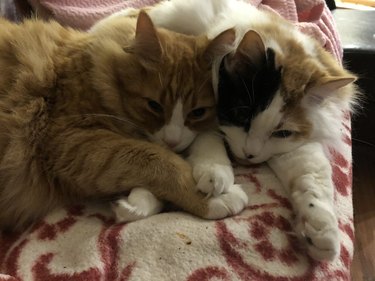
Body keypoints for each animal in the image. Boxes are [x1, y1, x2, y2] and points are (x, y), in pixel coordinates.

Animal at [0, 11, 250, 230]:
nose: (172, 142)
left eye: (197, 112)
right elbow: (161, 161)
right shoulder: (67, 139)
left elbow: (204, 139)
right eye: (154, 106)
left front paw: (212, 173)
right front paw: (214, 199)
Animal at [100, 0, 362, 260]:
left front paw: (321, 227)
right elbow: (203, 141)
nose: (249, 155)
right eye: (242, 115)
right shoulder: (206, 112)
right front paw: (214, 173)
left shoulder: (297, 144)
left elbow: (313, 177)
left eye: (282, 133)